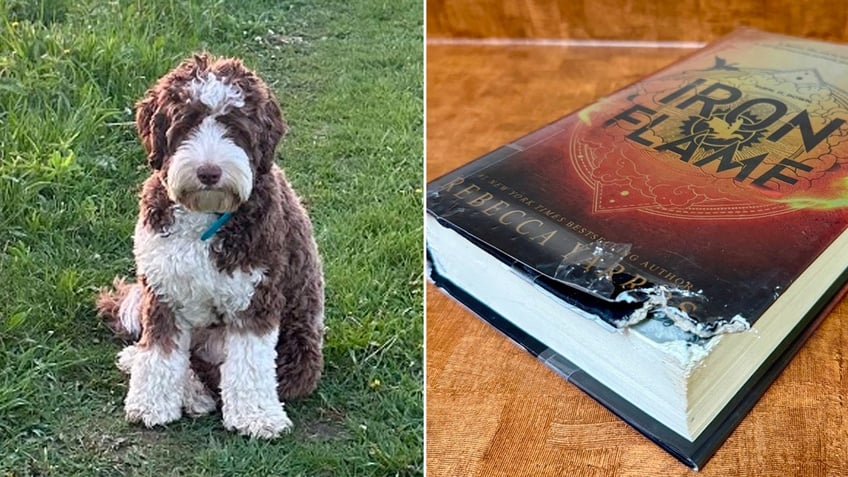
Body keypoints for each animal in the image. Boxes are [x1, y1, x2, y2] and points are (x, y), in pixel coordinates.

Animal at [96, 54, 324, 436]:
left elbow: (249, 361)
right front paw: (151, 403)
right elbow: (160, 351)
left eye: (236, 127)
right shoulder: (162, 289)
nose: (209, 172)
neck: (204, 214)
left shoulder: (255, 295)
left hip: (299, 353)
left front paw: (255, 416)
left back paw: (193, 394)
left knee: (215, 372)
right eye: (186, 123)